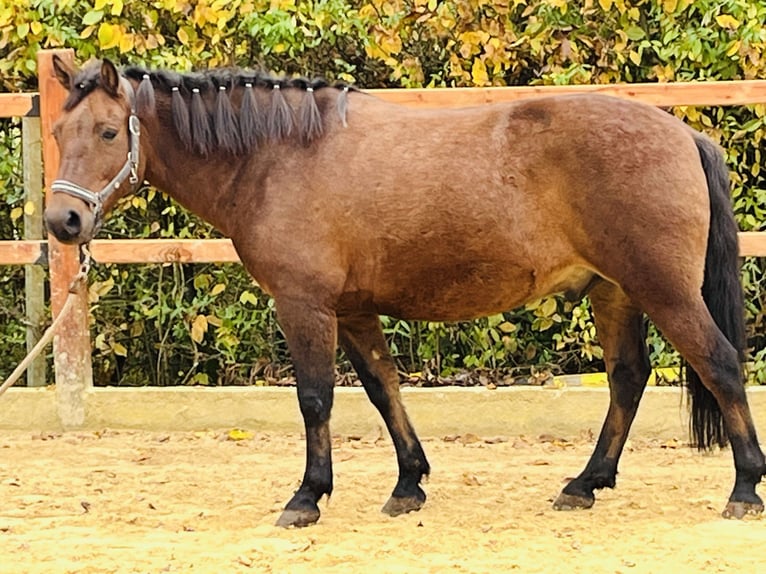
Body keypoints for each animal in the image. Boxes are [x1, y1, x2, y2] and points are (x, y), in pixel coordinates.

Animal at [45, 56, 764, 528]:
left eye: (108, 132)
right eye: (56, 133)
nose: (64, 221)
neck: (278, 156)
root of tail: (684, 133)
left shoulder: (304, 305)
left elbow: (315, 398)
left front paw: (306, 498)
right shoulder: (355, 310)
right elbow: (383, 389)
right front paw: (408, 485)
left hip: (663, 289)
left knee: (721, 365)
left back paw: (744, 489)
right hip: (614, 291)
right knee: (627, 378)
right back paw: (585, 484)